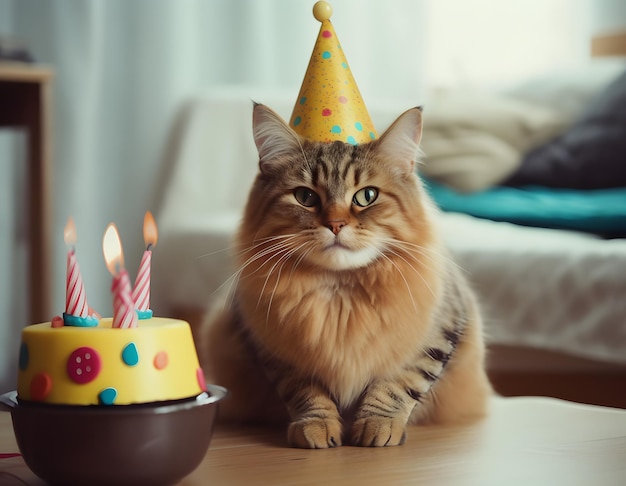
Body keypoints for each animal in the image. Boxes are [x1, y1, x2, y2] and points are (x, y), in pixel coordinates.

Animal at [197, 101, 490, 448]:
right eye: (305, 197)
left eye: (367, 196)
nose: (335, 224)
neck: (340, 289)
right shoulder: (276, 352)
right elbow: (306, 394)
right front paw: (317, 427)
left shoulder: (439, 332)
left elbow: (399, 385)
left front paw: (379, 425)